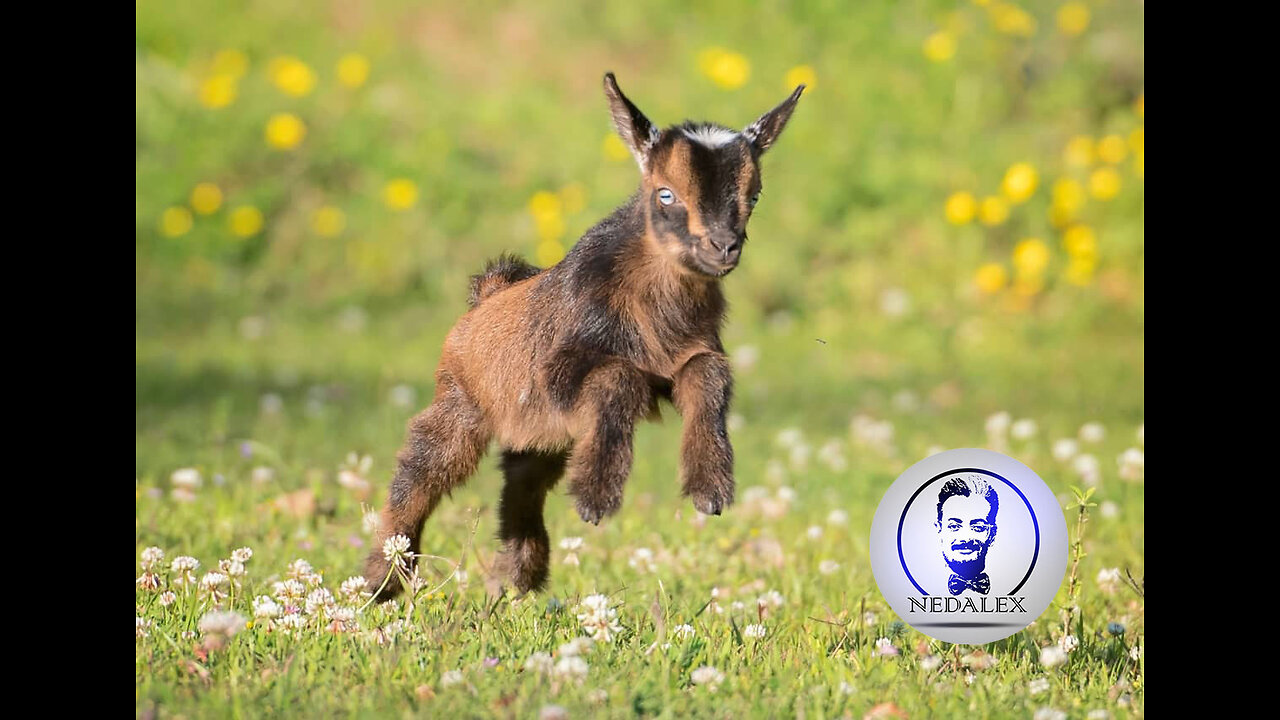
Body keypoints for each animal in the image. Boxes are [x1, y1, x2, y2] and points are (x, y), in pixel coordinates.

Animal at [363, 73, 798, 594]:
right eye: (665, 194)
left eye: (754, 196)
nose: (723, 247)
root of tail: (486, 295)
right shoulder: (560, 371)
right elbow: (618, 378)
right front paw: (595, 499)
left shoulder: (683, 358)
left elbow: (709, 373)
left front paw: (709, 491)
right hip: (463, 403)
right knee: (423, 468)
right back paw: (384, 578)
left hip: (540, 434)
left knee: (522, 481)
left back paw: (516, 576)